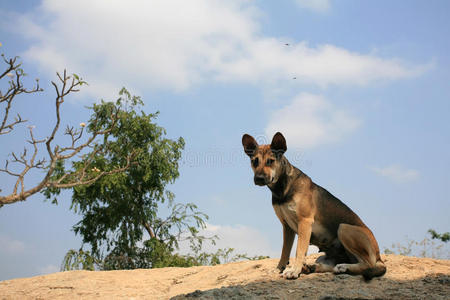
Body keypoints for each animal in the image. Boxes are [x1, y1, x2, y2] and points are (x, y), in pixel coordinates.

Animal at [243, 132, 386, 280]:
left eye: (270, 161)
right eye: (255, 161)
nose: (259, 178)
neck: (283, 188)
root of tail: (379, 257)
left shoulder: (304, 222)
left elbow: (299, 251)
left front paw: (294, 271)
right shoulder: (287, 226)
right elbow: (285, 252)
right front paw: (279, 269)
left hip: (344, 228)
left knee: (368, 264)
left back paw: (343, 267)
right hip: (326, 254)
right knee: (331, 265)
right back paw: (313, 267)